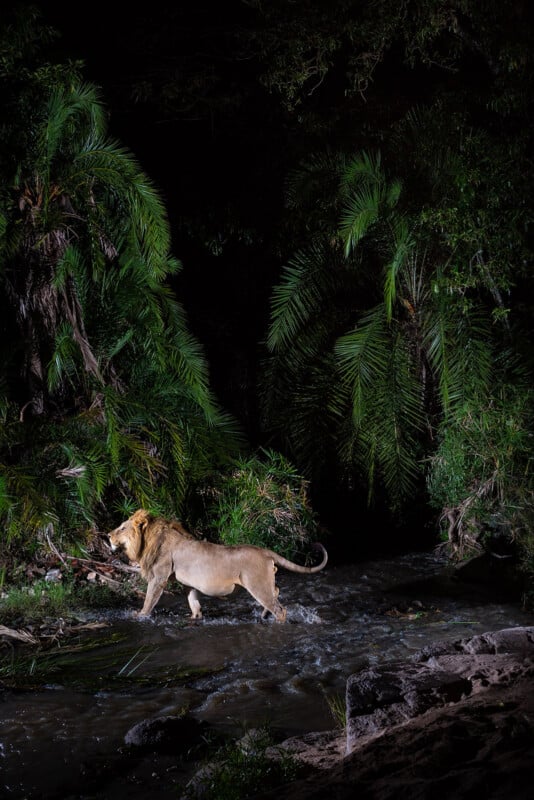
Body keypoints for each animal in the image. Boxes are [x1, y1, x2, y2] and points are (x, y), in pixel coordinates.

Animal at [108, 509, 328, 622]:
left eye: (122, 528)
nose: (108, 535)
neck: (150, 540)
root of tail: (264, 550)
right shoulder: (188, 582)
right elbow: (193, 600)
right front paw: (195, 617)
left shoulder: (159, 577)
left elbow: (149, 599)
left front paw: (140, 616)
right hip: (264, 583)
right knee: (276, 591)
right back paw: (264, 614)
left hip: (257, 584)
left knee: (280, 609)